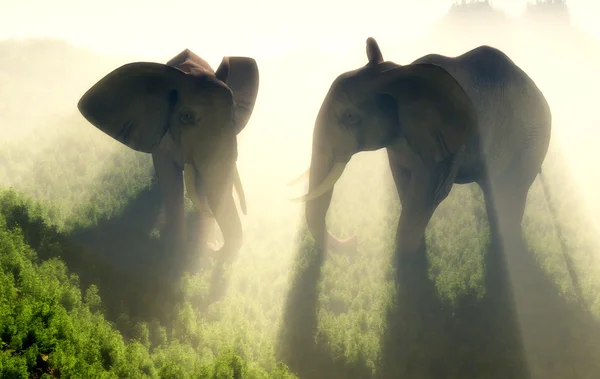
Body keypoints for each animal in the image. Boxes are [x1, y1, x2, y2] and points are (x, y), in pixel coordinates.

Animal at [77, 46, 260, 255]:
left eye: (233, 116)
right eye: (186, 117)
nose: (214, 249)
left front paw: (201, 248)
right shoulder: (163, 139)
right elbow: (169, 177)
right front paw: (175, 250)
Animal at [292, 37, 552, 266]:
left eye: (349, 117)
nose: (355, 240)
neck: (397, 76)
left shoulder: (444, 145)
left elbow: (428, 193)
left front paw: (407, 265)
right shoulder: (399, 141)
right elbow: (404, 184)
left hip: (529, 141)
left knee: (506, 190)